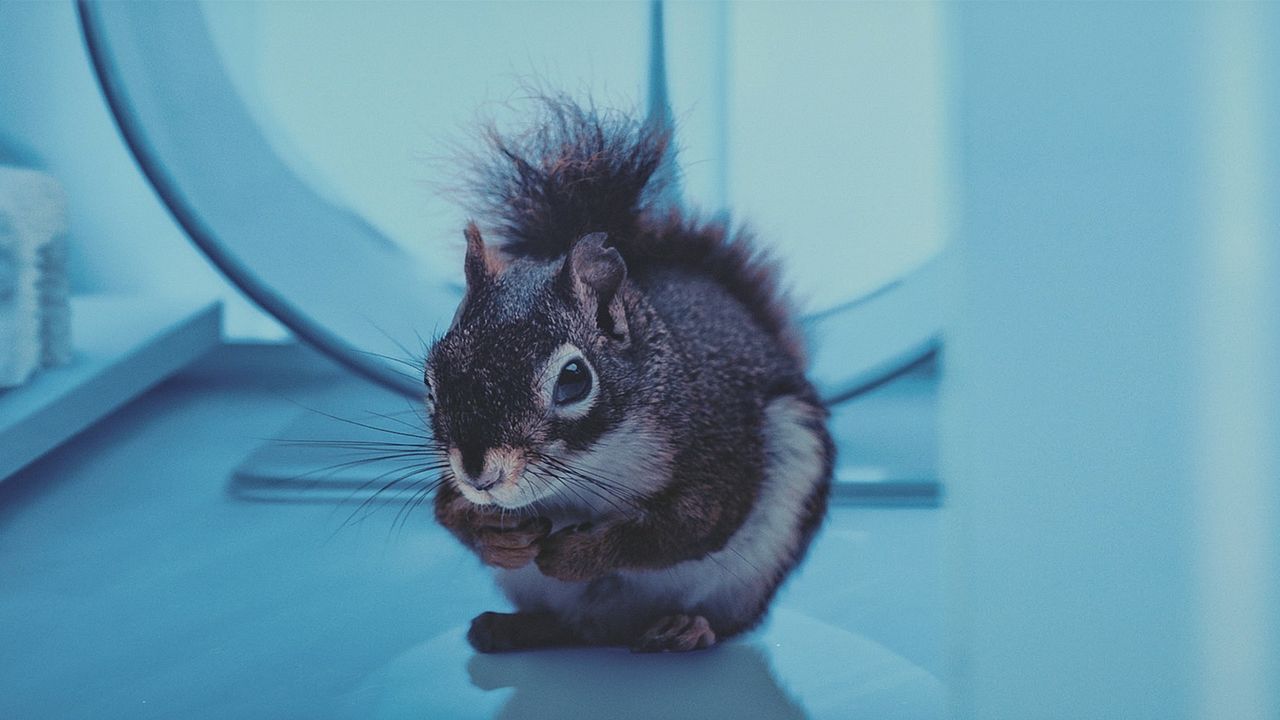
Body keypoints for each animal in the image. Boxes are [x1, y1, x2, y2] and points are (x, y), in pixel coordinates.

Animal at [425, 95, 833, 653]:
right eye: (432, 379)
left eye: (574, 379)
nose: (478, 473)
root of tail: (612, 630)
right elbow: (448, 512)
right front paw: (495, 536)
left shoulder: (719, 457)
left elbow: (675, 532)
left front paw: (578, 556)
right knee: (567, 627)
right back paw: (513, 626)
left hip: (754, 566)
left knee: (727, 622)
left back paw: (686, 627)